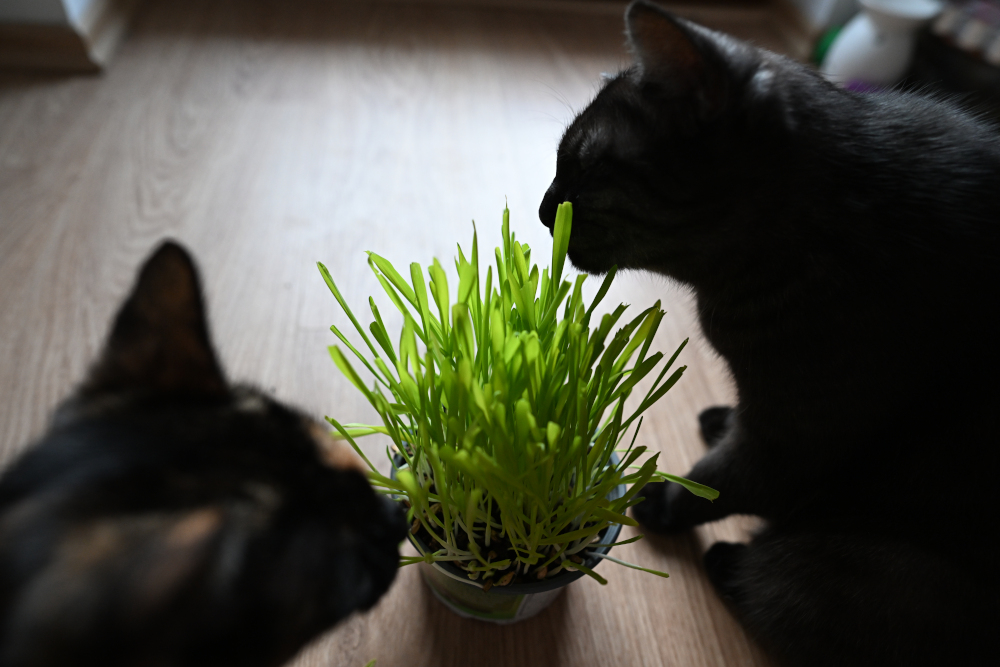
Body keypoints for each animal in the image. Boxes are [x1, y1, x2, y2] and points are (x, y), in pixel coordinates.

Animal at [540, 2, 1000, 664]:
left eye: (585, 169)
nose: (542, 211)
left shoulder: (799, 437)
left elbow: (721, 481)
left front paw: (659, 499)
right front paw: (719, 421)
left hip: (846, 570)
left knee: (778, 579)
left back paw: (727, 558)